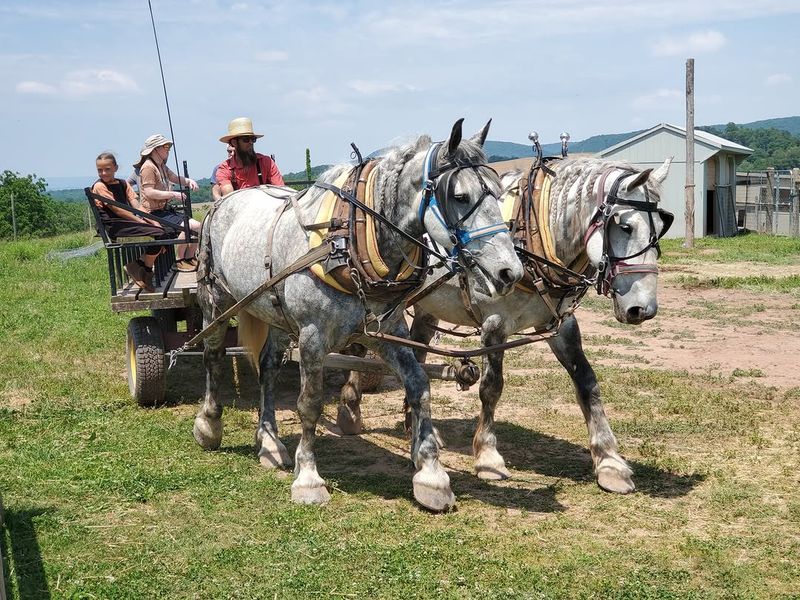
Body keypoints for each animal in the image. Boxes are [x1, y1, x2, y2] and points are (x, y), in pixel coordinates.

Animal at [192, 119, 524, 511]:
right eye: (461, 197)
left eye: (500, 193)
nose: (510, 272)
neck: (350, 237)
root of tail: (226, 200)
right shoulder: (312, 336)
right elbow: (309, 403)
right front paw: (308, 478)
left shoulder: (387, 329)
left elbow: (420, 386)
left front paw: (431, 475)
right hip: (216, 299)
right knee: (213, 356)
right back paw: (209, 424)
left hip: (274, 312)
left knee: (268, 367)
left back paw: (270, 442)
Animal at [335, 155, 673, 494]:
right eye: (625, 226)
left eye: (661, 228)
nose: (642, 309)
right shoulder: (494, 324)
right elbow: (492, 387)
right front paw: (488, 456)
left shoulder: (560, 324)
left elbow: (587, 382)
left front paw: (610, 462)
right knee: (358, 349)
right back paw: (350, 409)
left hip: (425, 306)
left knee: (415, 354)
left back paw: (412, 425)